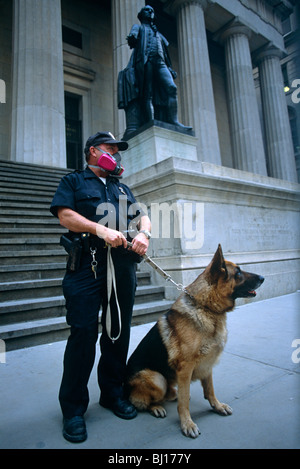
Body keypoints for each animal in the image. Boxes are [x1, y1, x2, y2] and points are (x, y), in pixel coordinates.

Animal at [125, 243, 264, 436]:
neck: (206, 307)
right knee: (141, 401)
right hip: (157, 379)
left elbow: (210, 389)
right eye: (237, 273)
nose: (263, 277)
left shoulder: (207, 364)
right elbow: (184, 403)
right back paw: (156, 407)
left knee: (170, 394)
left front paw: (217, 406)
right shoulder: (185, 367)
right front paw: (187, 423)